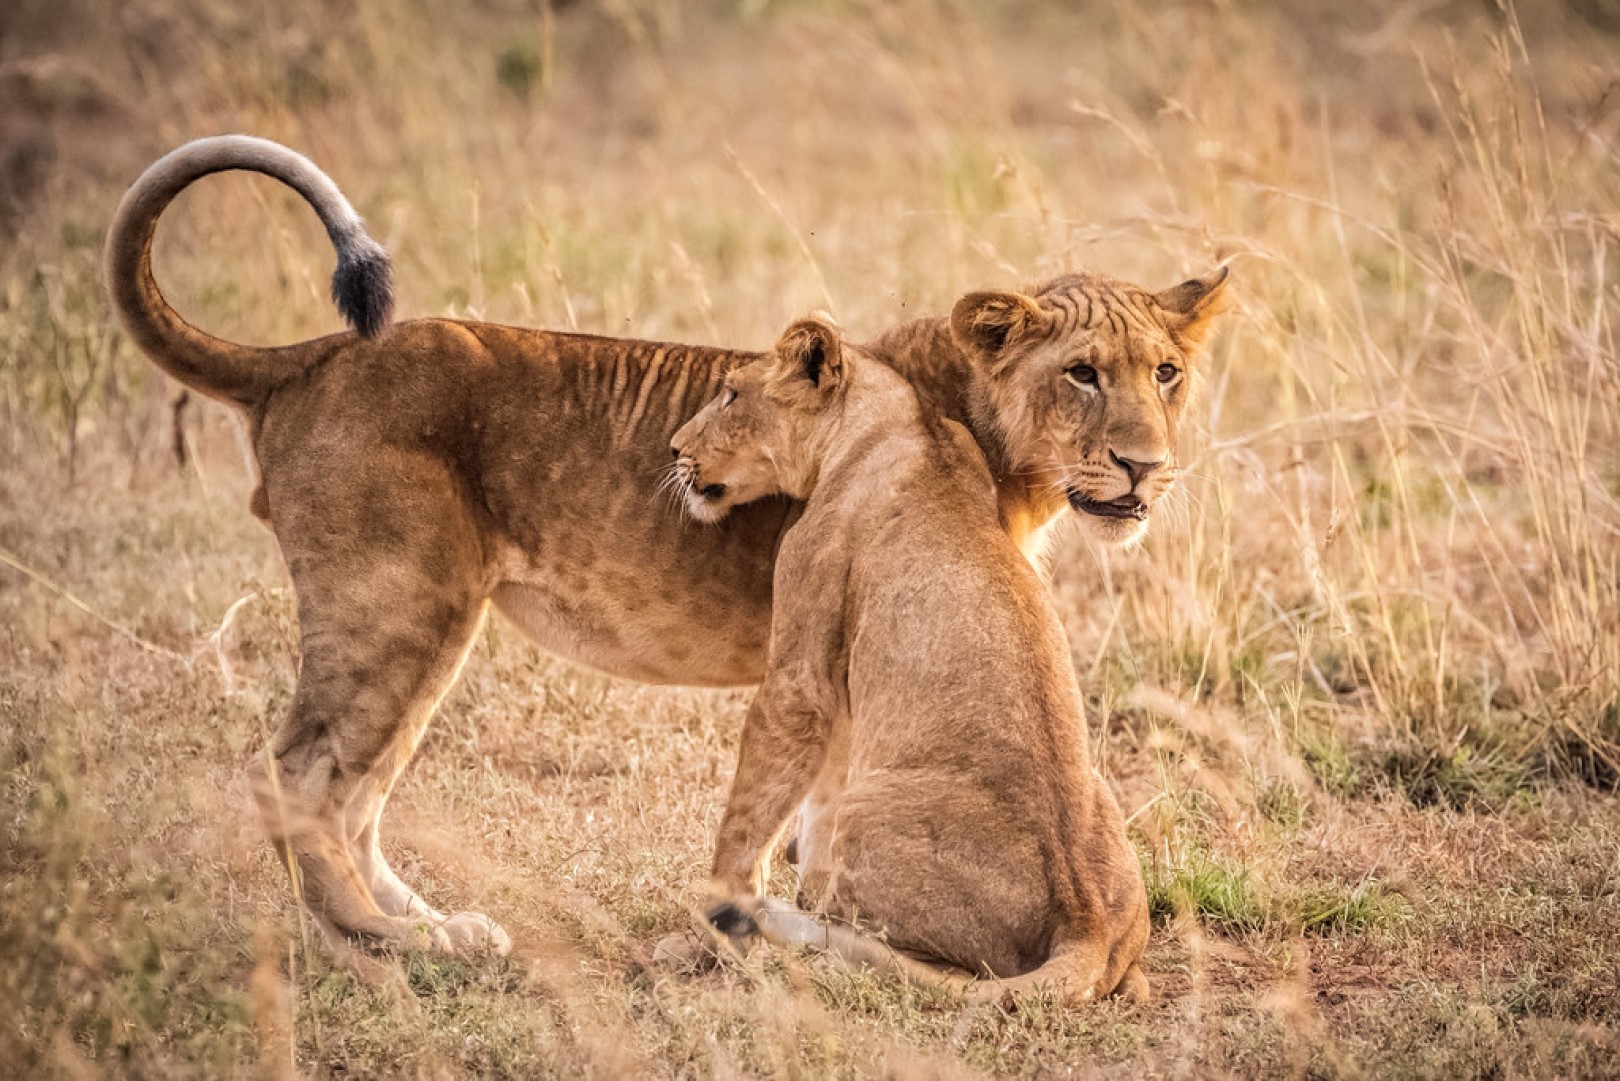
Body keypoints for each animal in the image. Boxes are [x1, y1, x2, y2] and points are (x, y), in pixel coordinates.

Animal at [667, 317, 1153, 1004]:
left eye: (733, 394)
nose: (675, 448)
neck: (902, 424)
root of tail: (1086, 925)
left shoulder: (802, 659)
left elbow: (753, 800)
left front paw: (717, 913)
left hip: (869, 810)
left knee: (896, 955)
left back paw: (784, 924)